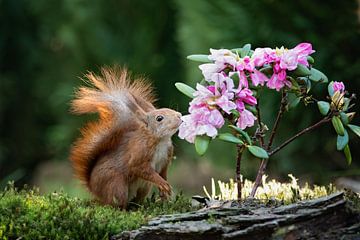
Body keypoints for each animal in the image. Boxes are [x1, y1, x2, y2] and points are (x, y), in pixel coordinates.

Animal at [69, 66, 183, 207]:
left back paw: (138, 205)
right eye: (159, 118)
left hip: (144, 187)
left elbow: (163, 173)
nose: (179, 115)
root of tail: (94, 188)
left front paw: (165, 190)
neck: (161, 141)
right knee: (114, 203)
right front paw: (162, 183)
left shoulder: (166, 158)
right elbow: (140, 168)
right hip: (116, 185)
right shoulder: (139, 152)